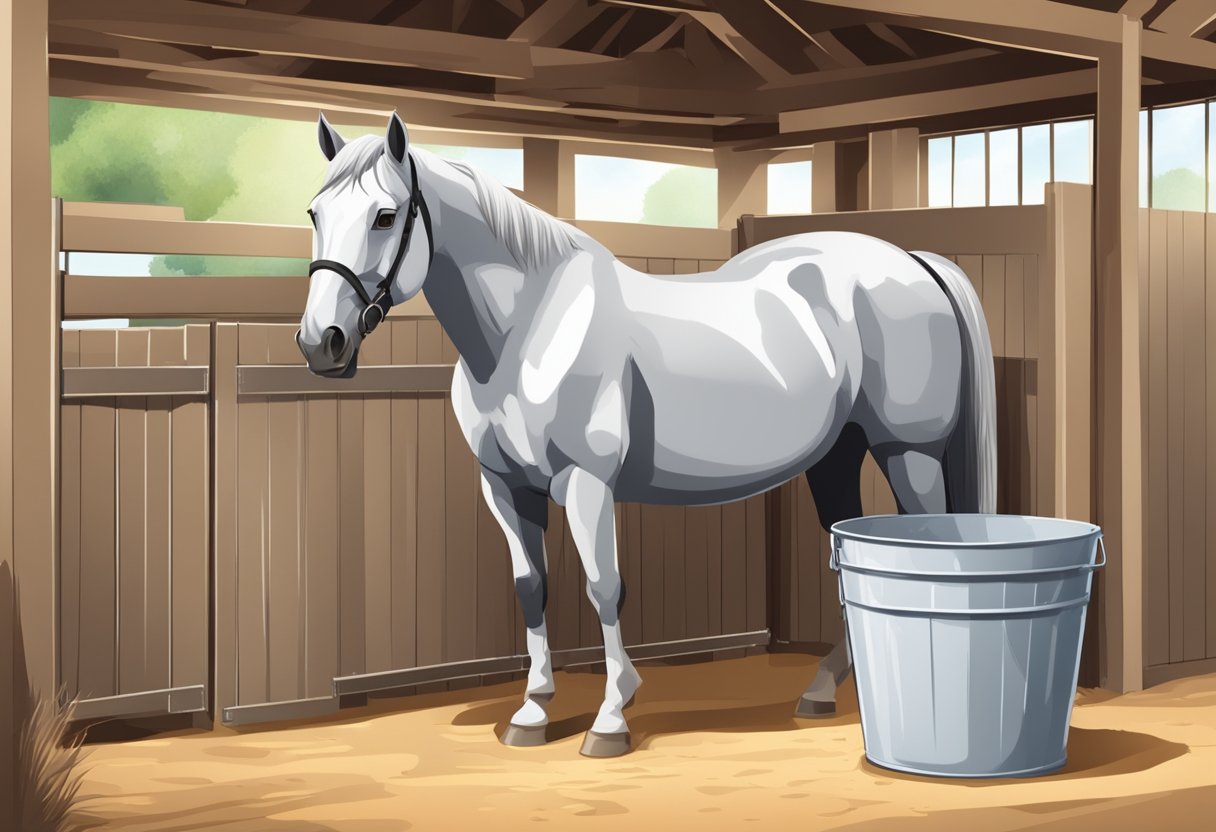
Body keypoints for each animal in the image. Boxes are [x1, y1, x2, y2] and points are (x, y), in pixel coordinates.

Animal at [299, 113, 992, 759]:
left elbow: (604, 586)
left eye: (385, 216)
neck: (531, 328)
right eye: (314, 213)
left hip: (908, 452)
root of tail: (911, 259)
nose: (320, 343)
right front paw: (533, 712)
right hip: (835, 456)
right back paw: (821, 691)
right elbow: (531, 587)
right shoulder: (504, 486)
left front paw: (611, 718)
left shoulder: (586, 482)